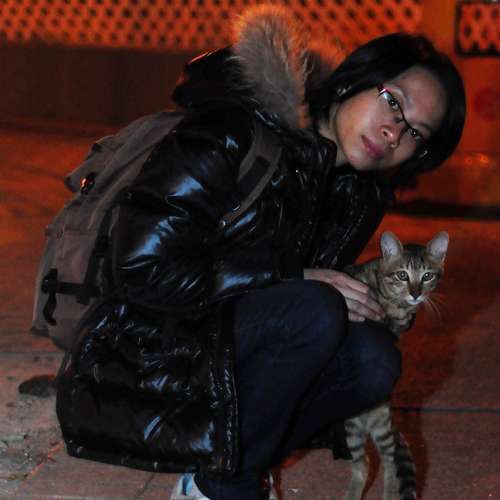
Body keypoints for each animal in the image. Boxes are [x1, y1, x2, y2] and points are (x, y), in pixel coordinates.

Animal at [342, 230, 449, 500]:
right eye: (402, 275)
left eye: (427, 276)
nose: (415, 294)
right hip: (352, 428)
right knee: (363, 464)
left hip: (380, 427)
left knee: (387, 460)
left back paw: (389, 492)